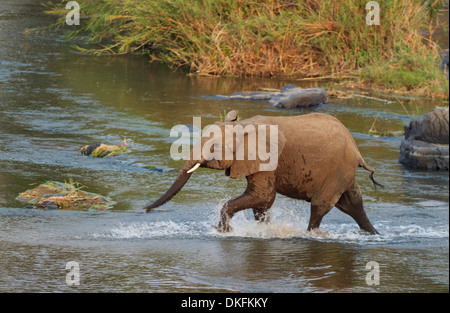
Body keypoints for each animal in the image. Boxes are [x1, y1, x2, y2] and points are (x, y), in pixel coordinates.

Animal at [145, 111, 384, 233]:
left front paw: (222, 231)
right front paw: (264, 231)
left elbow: (263, 195)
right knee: (353, 203)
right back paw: (373, 234)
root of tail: (357, 150)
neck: (242, 126)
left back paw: (309, 234)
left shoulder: (267, 157)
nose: (145, 209)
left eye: (214, 148)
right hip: (343, 171)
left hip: (337, 171)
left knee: (320, 206)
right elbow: (263, 201)